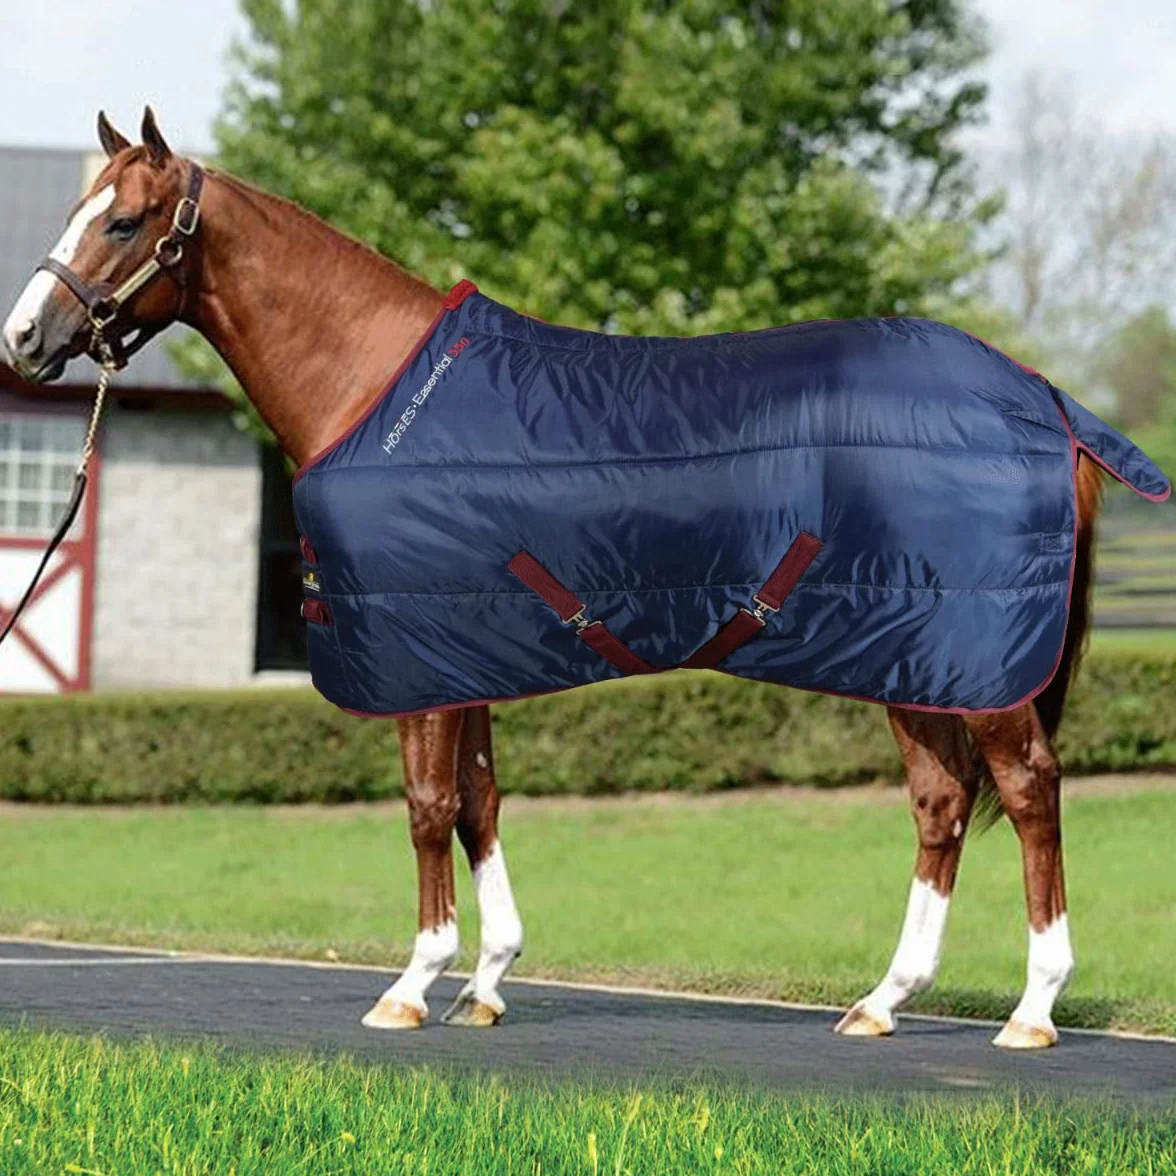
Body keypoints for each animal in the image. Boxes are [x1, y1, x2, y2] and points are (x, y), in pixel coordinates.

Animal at [1, 108, 1116, 1050]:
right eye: (80, 212)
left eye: (126, 221)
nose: (21, 339)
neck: (378, 387)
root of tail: (1041, 400)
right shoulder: (461, 648)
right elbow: (479, 803)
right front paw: (487, 983)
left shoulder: (417, 653)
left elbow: (427, 805)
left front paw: (413, 985)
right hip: (915, 652)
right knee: (940, 800)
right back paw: (883, 1000)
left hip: (971, 656)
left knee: (1028, 787)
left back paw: (1033, 1008)